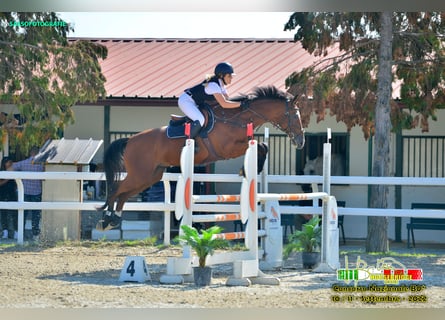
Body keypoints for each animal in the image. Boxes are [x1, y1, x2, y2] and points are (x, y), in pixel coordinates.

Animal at [96, 85, 306, 230]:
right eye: (295, 116)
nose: (301, 141)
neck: (236, 118)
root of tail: (130, 140)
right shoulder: (227, 149)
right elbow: (261, 145)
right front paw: (245, 169)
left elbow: (263, 146)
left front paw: (248, 169)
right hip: (140, 174)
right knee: (116, 189)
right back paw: (105, 219)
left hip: (150, 176)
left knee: (123, 194)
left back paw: (114, 219)